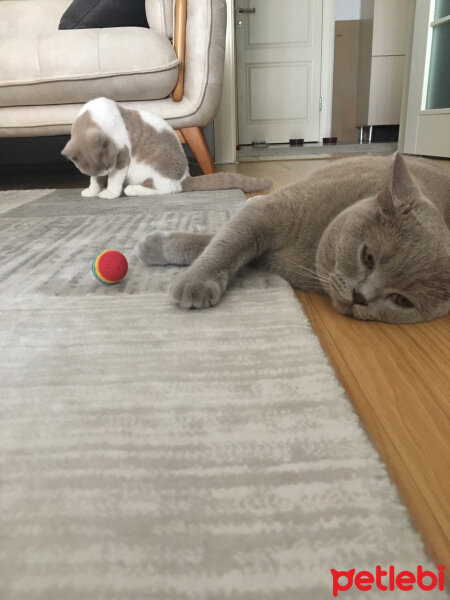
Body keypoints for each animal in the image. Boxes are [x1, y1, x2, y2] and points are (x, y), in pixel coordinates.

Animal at [139, 152, 448, 326]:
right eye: (368, 257)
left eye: (401, 301)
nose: (360, 297)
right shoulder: (265, 214)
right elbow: (223, 243)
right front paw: (177, 267)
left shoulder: (264, 252)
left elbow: (217, 242)